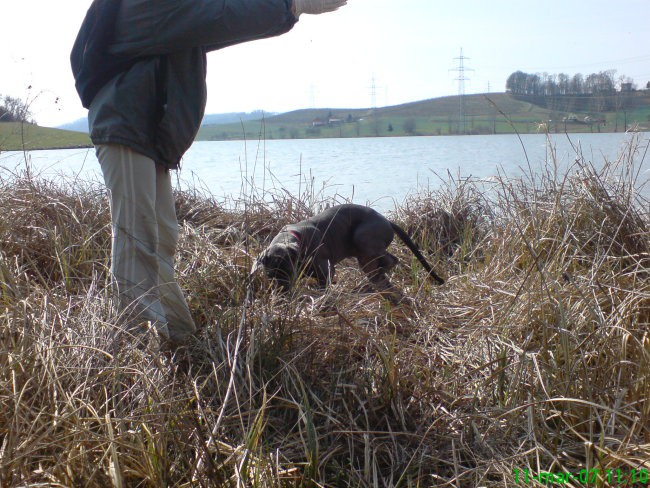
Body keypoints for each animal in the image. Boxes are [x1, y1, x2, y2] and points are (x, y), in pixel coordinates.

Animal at [256, 203, 442, 298]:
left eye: (288, 272)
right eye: (270, 276)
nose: (282, 293)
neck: (292, 238)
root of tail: (387, 221)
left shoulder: (326, 269)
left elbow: (324, 285)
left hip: (362, 237)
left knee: (391, 259)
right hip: (365, 257)